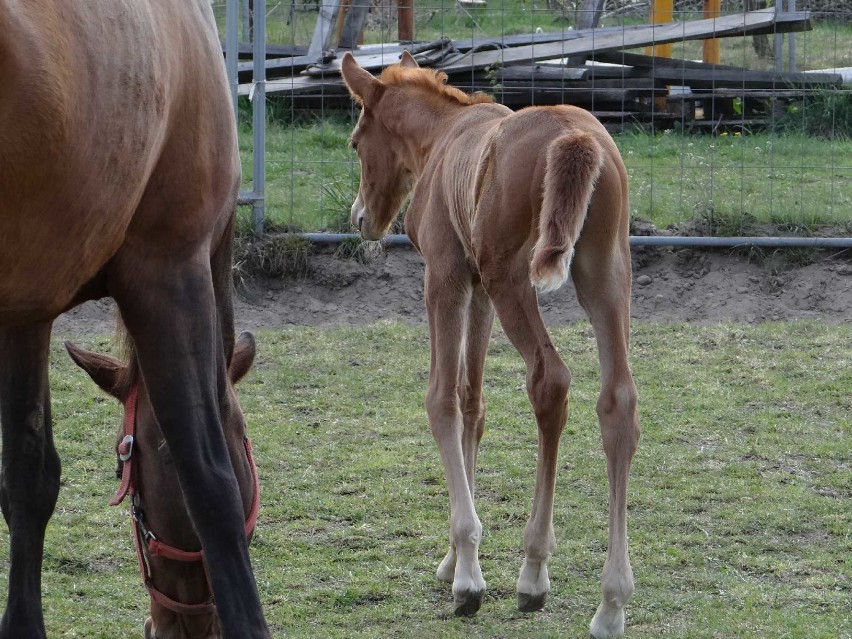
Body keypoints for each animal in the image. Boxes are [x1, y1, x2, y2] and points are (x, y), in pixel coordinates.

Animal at [0, 2, 270, 636]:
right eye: (157, 453)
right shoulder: (170, 269)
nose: (174, 625)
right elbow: (211, 481)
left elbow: (27, 475)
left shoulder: (27, 308)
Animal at [340, 51, 640, 639]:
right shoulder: (475, 287)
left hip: (513, 277)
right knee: (617, 400)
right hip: (605, 274)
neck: (442, 136)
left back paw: (534, 573)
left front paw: (467, 575)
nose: (362, 219)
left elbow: (442, 400)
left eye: (356, 142)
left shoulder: (446, 277)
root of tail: (575, 138)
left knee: (550, 380)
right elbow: (473, 402)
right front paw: (454, 558)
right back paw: (611, 603)